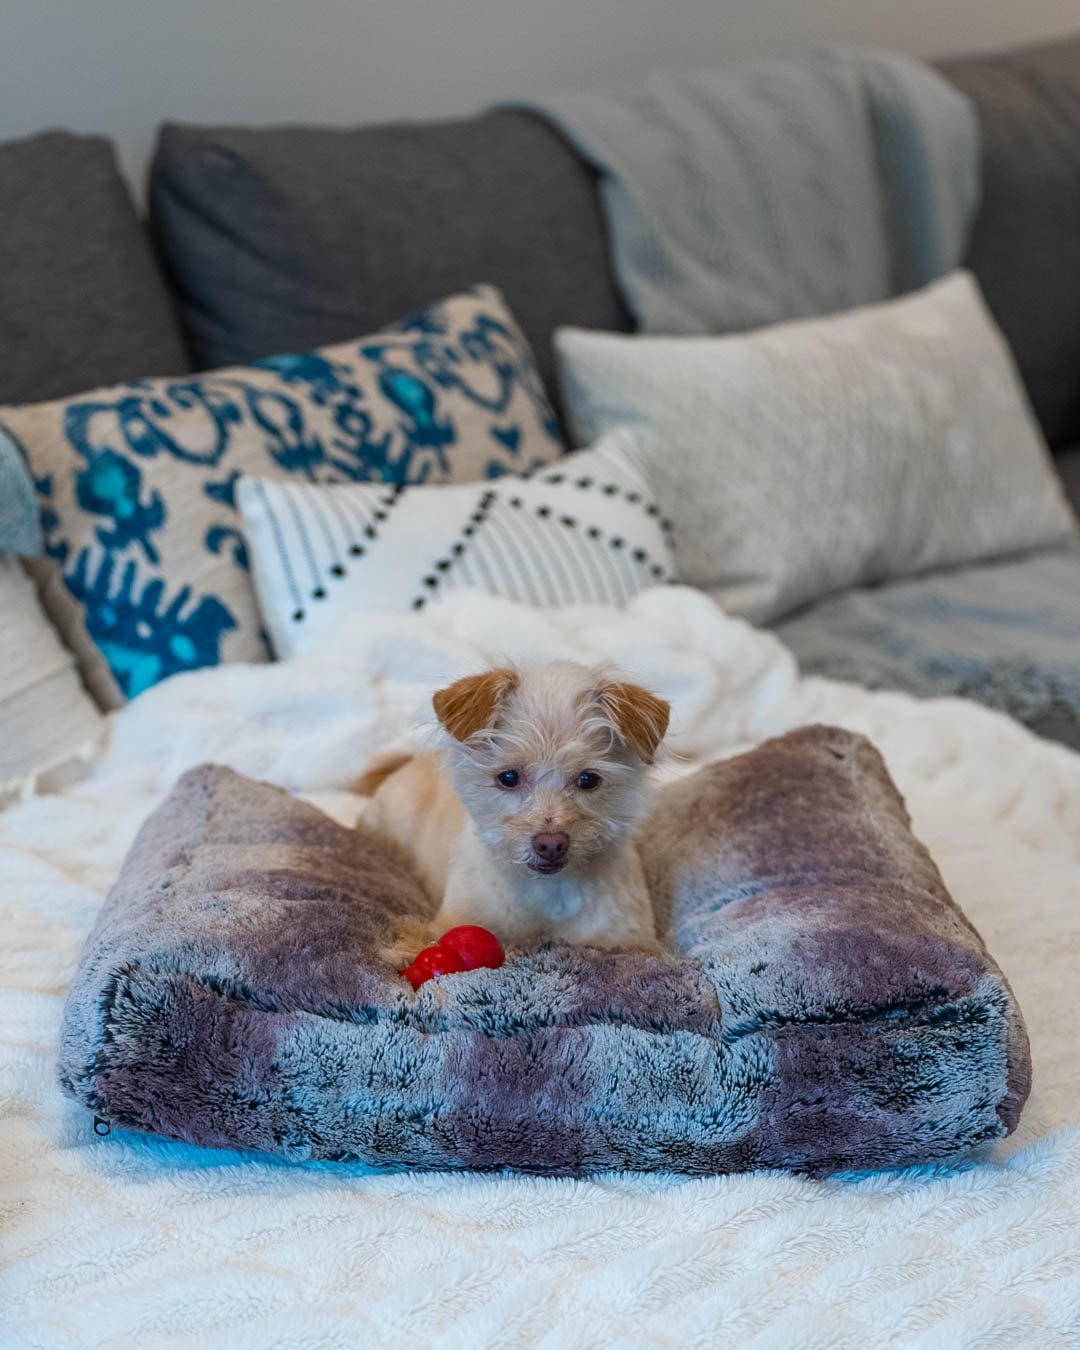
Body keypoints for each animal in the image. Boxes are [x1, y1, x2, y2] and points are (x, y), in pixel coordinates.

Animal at [361, 664, 666, 950]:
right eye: (508, 777)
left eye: (588, 779)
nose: (551, 844)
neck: (547, 894)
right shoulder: (456, 921)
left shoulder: (631, 941)